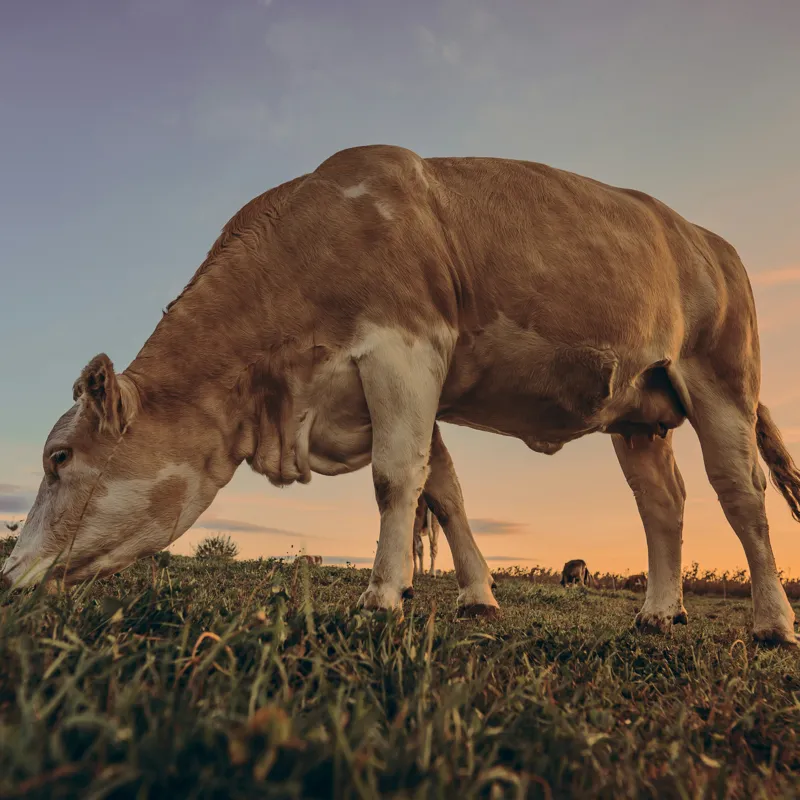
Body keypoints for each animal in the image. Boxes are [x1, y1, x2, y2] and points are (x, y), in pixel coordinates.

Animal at [4, 144, 800, 645]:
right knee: (663, 505)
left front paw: (383, 595)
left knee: (741, 494)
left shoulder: (404, 350)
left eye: (59, 457)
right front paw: (477, 596)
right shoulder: (402, 387)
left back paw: (771, 621)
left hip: (722, 378)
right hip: (638, 412)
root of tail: (707, 239)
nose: (8, 573)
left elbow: (395, 478)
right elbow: (441, 490)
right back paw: (660, 612)